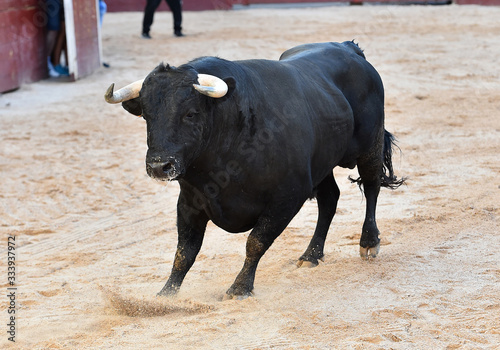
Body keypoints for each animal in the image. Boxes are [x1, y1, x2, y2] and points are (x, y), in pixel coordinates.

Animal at [104, 41, 402, 298]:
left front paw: (239, 288)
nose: (159, 166)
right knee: (330, 198)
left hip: (370, 144)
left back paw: (368, 243)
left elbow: (256, 241)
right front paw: (165, 295)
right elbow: (184, 251)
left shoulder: (287, 197)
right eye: (146, 115)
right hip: (322, 162)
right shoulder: (189, 202)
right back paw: (310, 255)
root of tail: (349, 48)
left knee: (371, 187)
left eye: (190, 113)